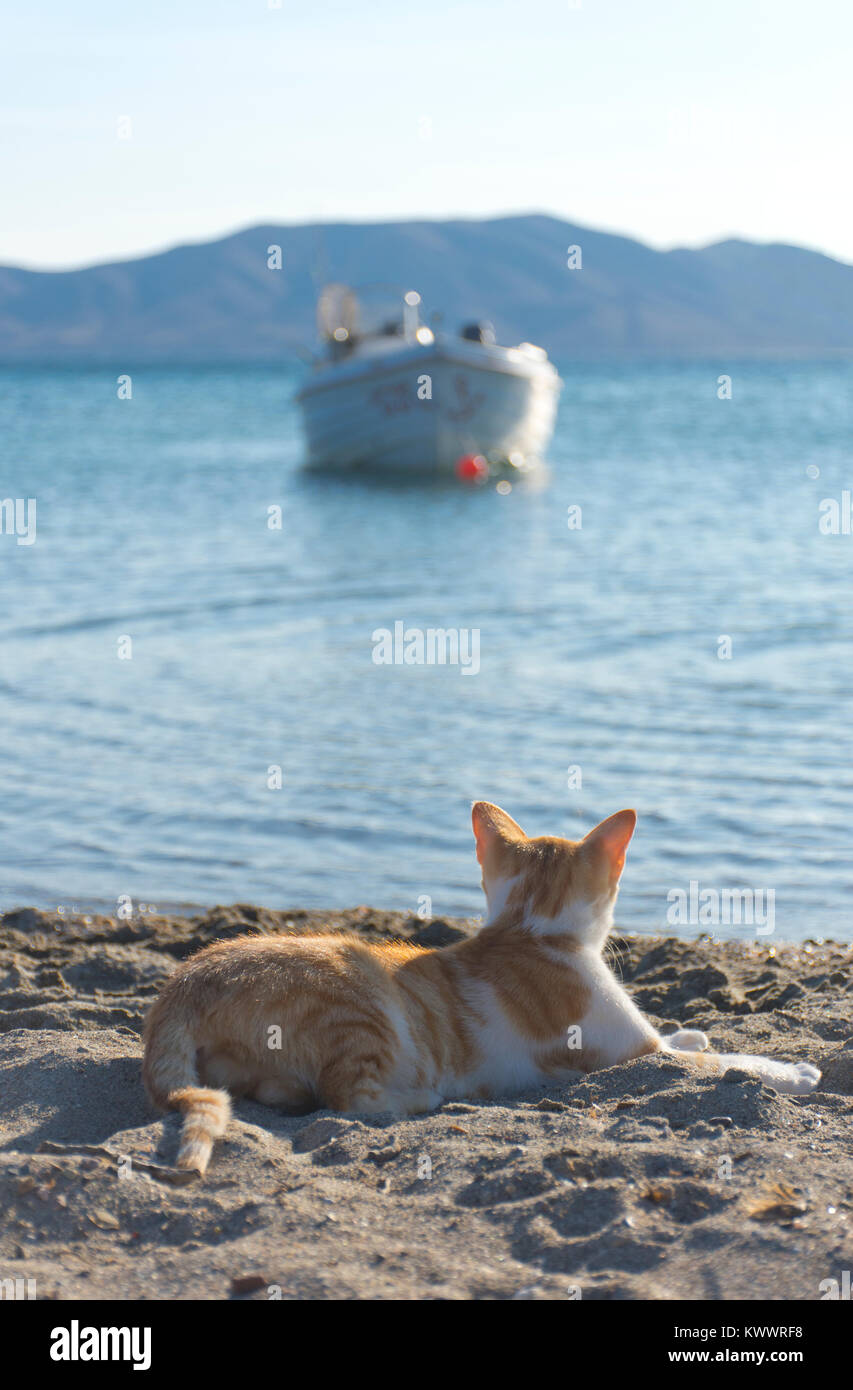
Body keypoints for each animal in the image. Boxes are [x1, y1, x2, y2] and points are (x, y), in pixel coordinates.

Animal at [142, 806, 822, 1173]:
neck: (528, 926)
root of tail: (183, 983)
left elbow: (688, 1040)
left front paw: (696, 1028)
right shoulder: (636, 1053)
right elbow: (725, 1062)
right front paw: (794, 1072)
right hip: (361, 1001)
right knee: (345, 1097)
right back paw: (419, 1101)